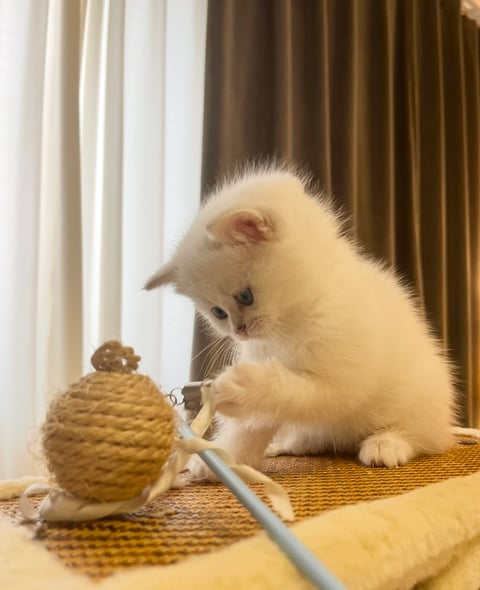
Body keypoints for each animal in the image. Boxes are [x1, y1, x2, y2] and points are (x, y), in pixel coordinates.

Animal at [146, 165, 458, 476]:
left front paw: (245, 387)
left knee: (422, 434)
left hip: (421, 397)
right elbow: (253, 426)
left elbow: (296, 393)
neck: (290, 323)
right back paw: (296, 443)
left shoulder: (342, 380)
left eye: (245, 297)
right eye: (218, 313)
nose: (239, 330)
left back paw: (386, 443)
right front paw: (226, 460)